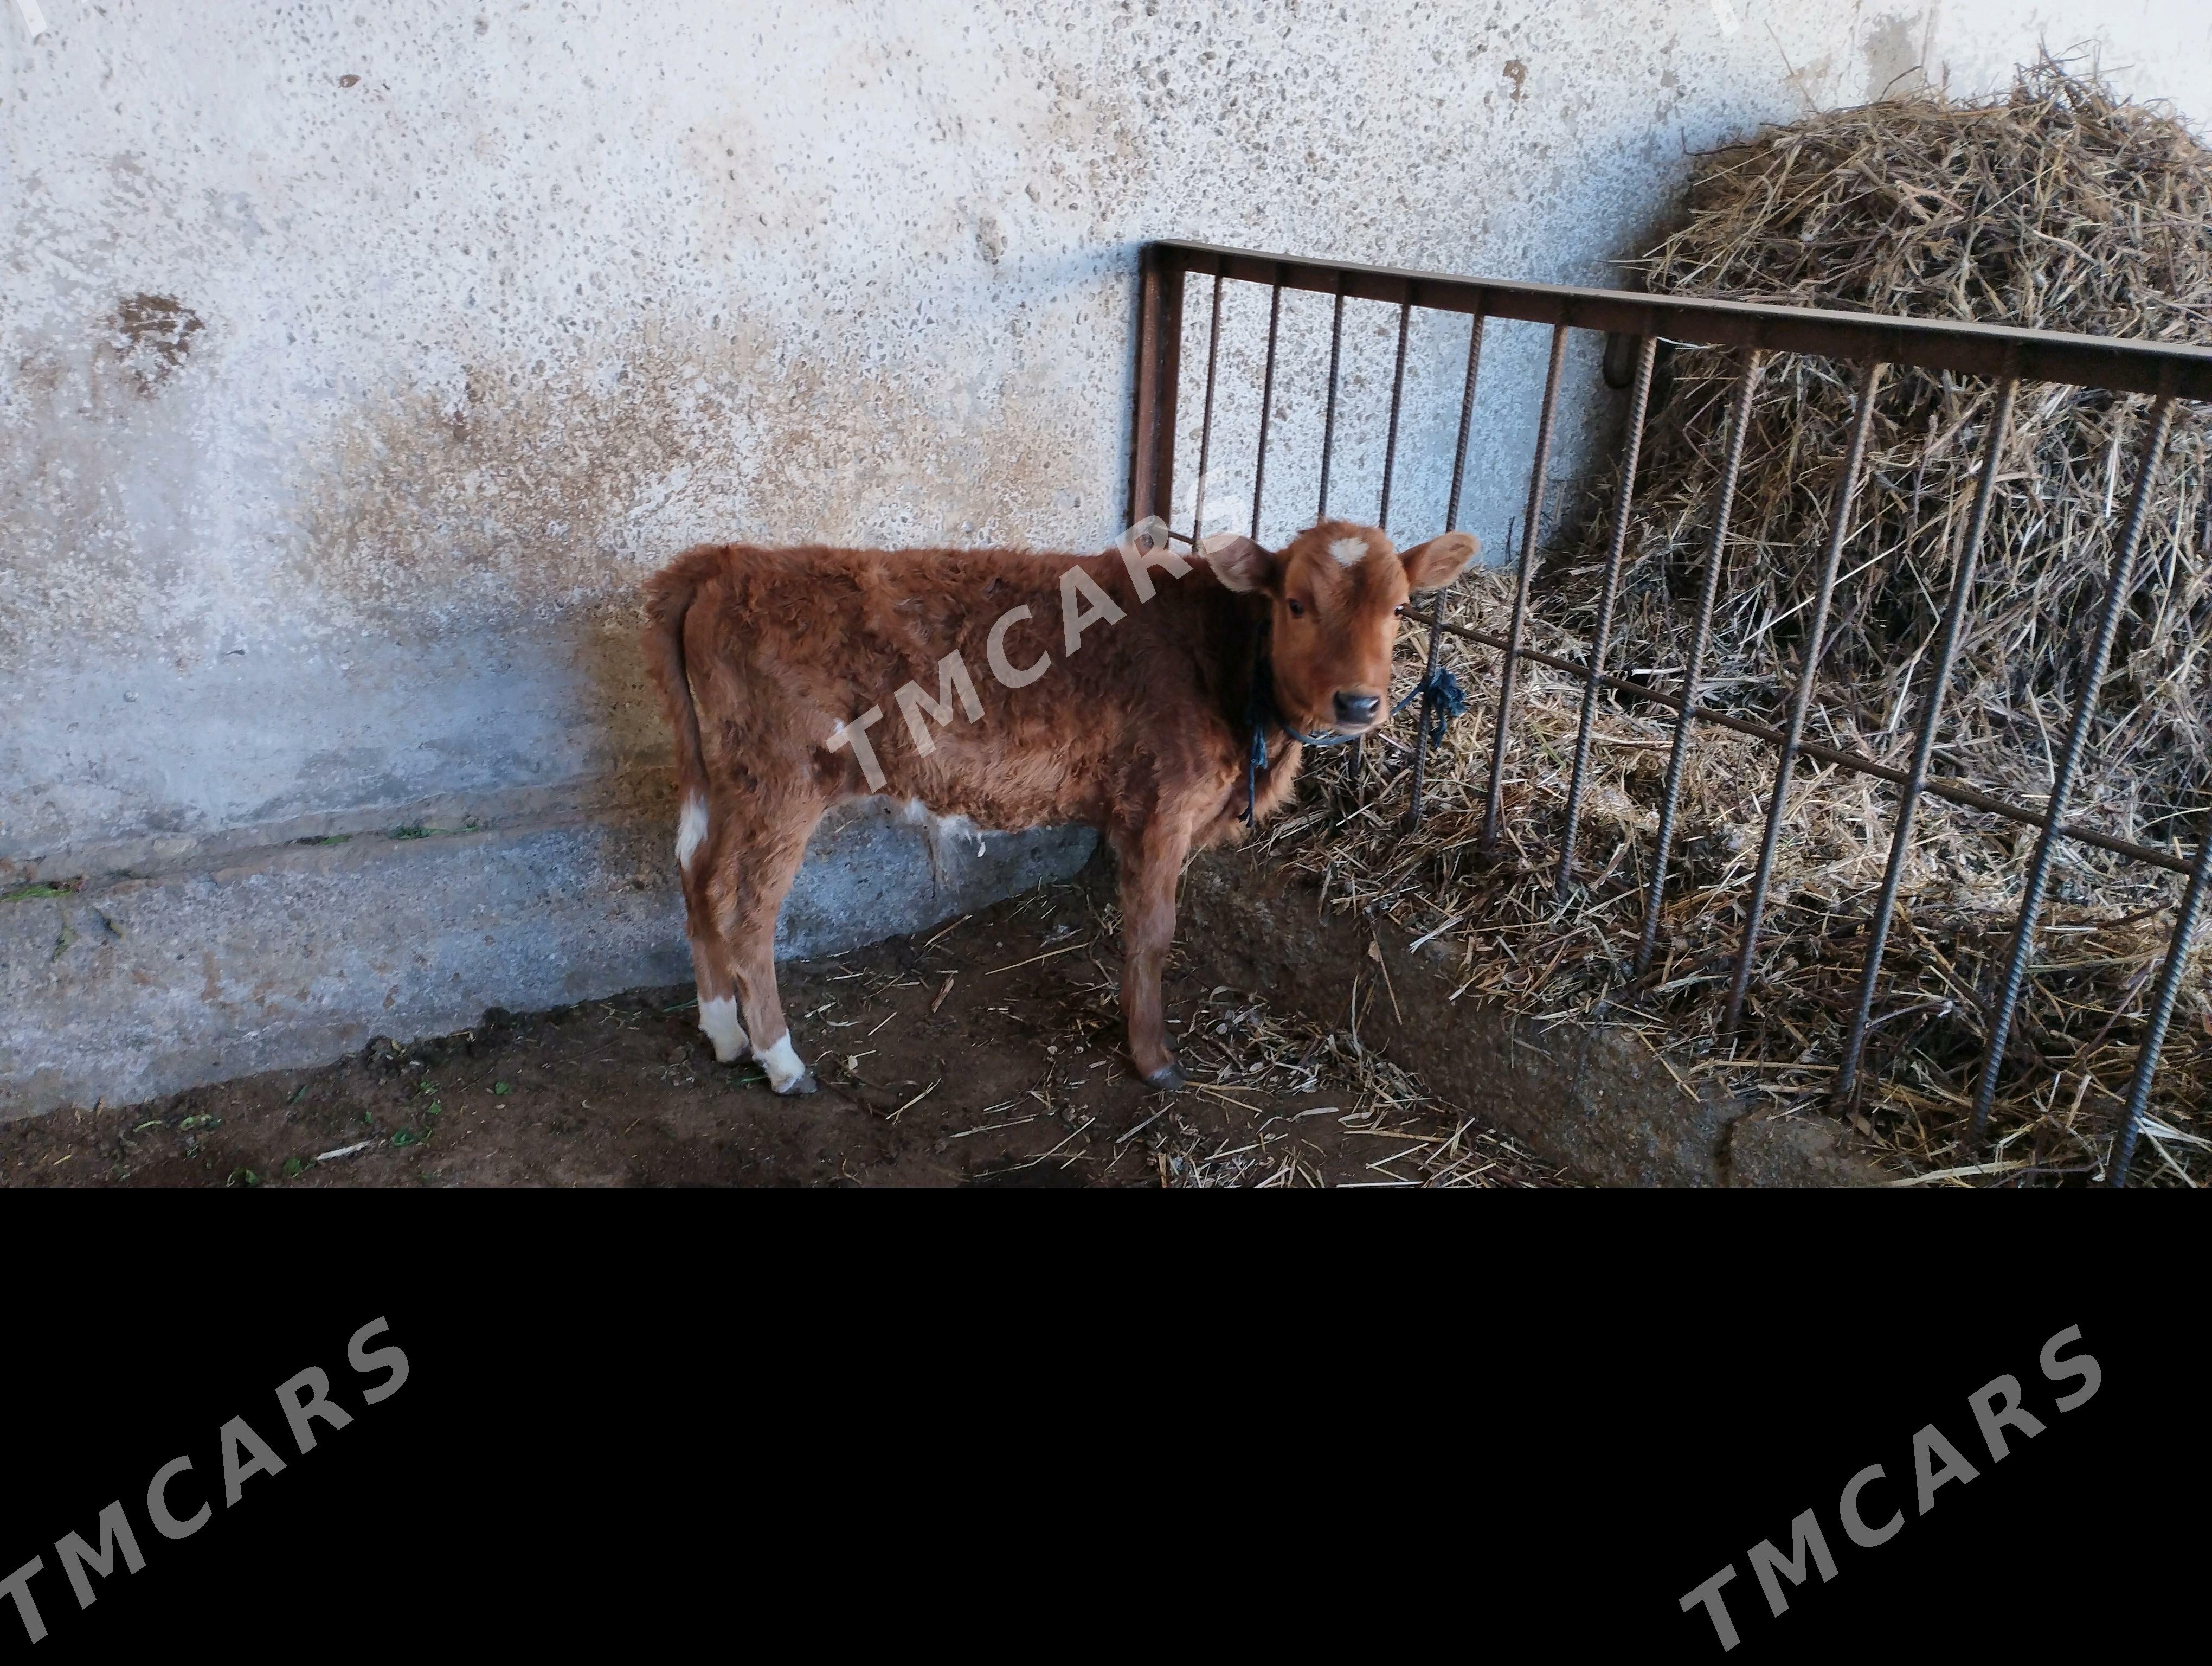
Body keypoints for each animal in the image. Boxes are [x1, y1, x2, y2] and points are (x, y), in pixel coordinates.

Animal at [641, 520, 1469, 1093]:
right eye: (1295, 603)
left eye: (1401, 608)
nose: (1359, 703)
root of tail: (726, 560)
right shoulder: (1161, 806)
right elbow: (1153, 934)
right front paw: (1153, 1059)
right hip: (784, 781)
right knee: (746, 911)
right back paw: (781, 1061)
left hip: (729, 779)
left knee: (697, 879)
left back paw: (722, 1032)